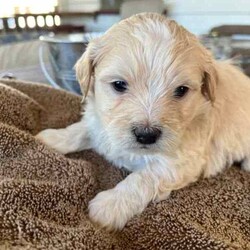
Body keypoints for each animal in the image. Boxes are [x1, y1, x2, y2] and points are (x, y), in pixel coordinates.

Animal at [36, 13, 250, 230]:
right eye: (119, 85)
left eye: (181, 90)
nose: (146, 135)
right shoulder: (102, 125)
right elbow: (81, 130)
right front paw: (53, 138)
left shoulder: (183, 161)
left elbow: (143, 177)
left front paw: (110, 205)